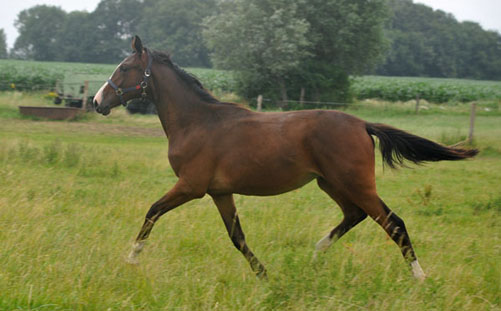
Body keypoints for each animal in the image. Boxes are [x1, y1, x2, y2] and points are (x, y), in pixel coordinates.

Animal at [93, 36, 476, 280]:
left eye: (124, 67)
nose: (97, 102)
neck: (198, 121)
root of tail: (362, 124)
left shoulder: (191, 186)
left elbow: (152, 212)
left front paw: (131, 259)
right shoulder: (220, 192)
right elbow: (237, 237)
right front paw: (265, 275)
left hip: (356, 183)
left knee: (393, 223)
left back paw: (420, 277)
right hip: (330, 183)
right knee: (355, 215)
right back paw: (316, 253)